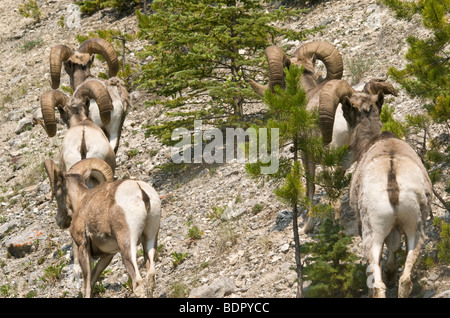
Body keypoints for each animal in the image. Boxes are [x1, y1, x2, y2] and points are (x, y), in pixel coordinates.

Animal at [43, 158, 162, 296]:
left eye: (57, 193)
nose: (59, 221)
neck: (81, 201)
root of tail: (141, 191)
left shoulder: (83, 246)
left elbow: (87, 285)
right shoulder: (107, 255)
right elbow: (92, 280)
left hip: (127, 245)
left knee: (137, 282)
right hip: (150, 239)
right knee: (150, 276)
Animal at [342, 85, 432, 296]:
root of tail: (393, 180)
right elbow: (394, 248)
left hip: (372, 235)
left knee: (378, 284)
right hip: (416, 228)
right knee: (405, 278)